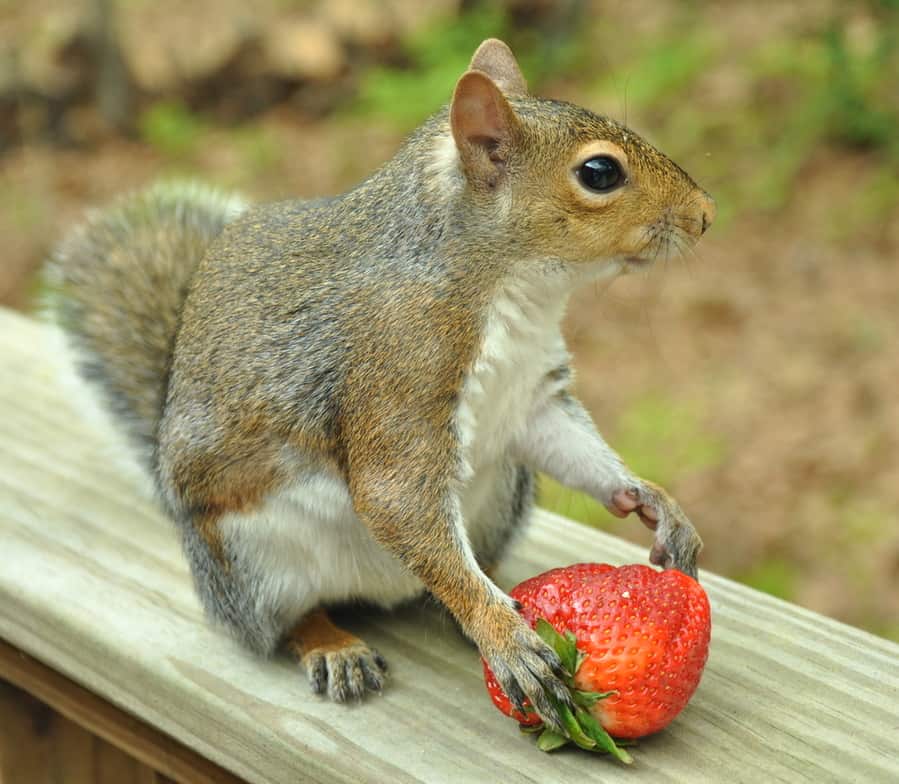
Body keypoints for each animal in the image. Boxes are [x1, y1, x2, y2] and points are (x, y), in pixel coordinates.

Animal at [44, 39, 716, 732]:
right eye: (600, 173)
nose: (705, 215)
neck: (514, 290)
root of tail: (379, 587)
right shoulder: (397, 371)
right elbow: (395, 497)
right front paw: (505, 638)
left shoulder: (533, 398)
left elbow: (577, 450)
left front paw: (653, 502)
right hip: (253, 560)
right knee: (287, 621)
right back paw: (342, 642)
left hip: (501, 496)